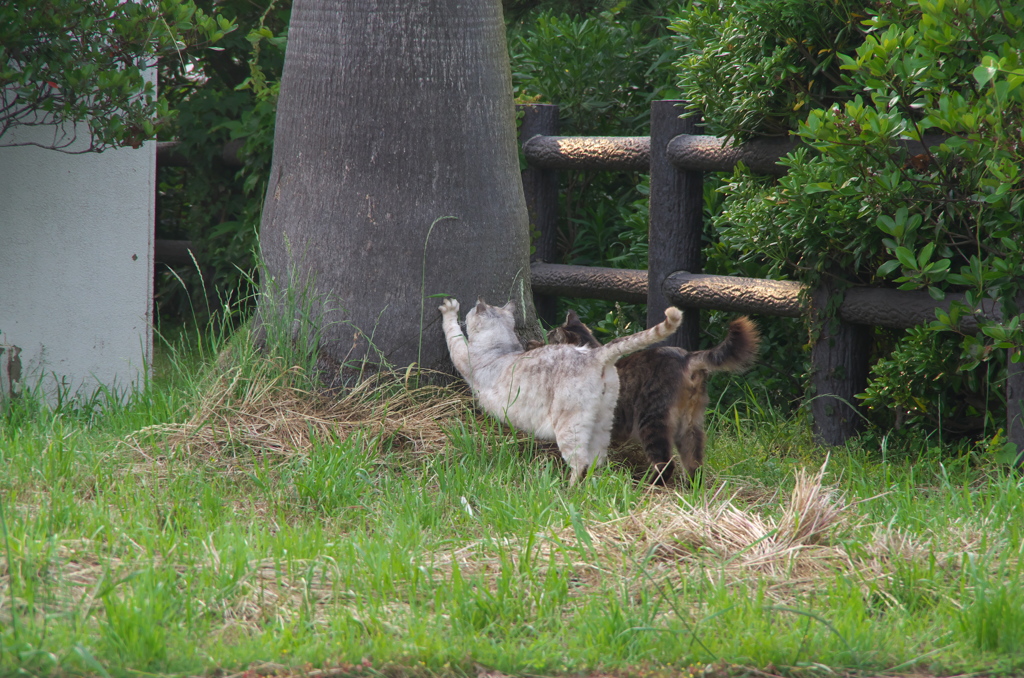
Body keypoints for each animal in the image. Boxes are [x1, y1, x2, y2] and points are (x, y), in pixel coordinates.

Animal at [438, 299, 679, 483]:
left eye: (470, 312)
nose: (467, 309)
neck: (502, 348)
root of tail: (595, 354)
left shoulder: (463, 357)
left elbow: (454, 335)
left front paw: (449, 308)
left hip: (569, 426)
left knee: (580, 462)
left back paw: (569, 490)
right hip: (602, 421)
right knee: (598, 460)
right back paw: (593, 486)